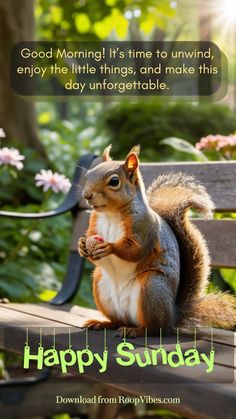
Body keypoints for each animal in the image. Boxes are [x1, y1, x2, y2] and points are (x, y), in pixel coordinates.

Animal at [78, 146, 236, 340]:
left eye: (114, 181)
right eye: (88, 174)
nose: (86, 195)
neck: (111, 214)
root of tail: (172, 317)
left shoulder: (144, 226)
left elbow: (135, 250)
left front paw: (109, 247)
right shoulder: (94, 223)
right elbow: (91, 243)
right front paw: (81, 245)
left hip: (151, 288)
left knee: (154, 329)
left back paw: (135, 330)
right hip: (101, 283)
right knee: (118, 320)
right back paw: (102, 323)